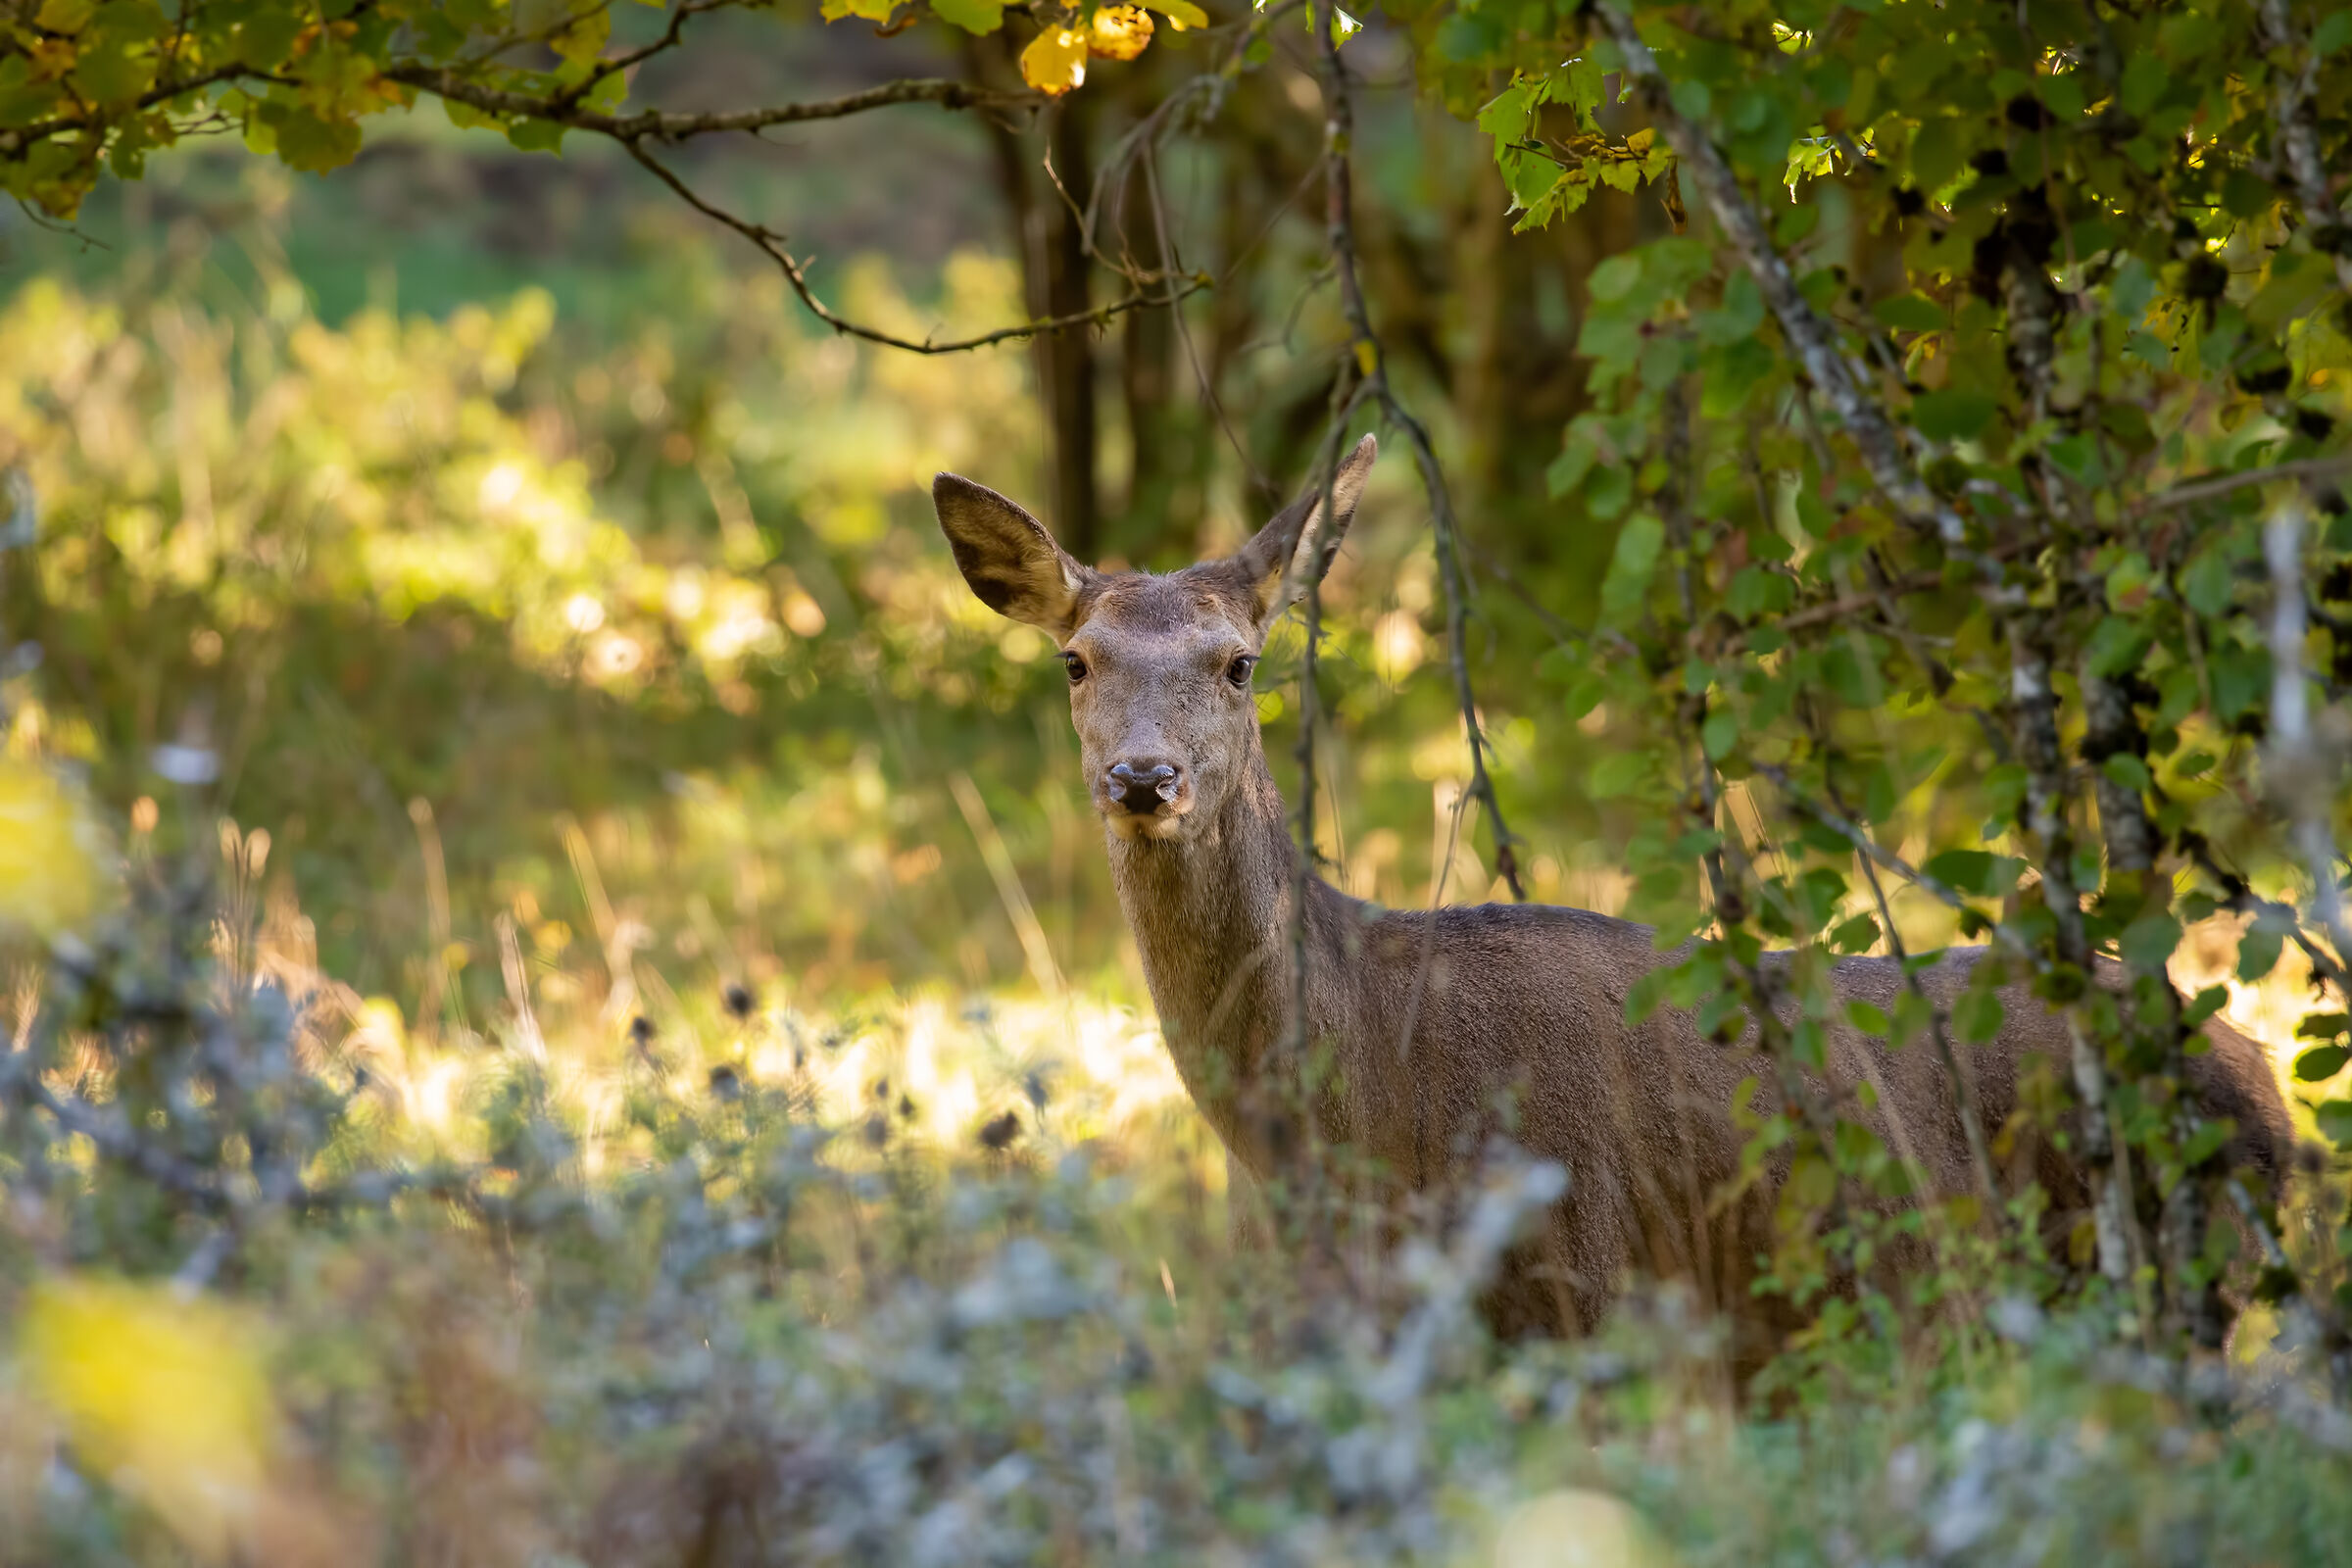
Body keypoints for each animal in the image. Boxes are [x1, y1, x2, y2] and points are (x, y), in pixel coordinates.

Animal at [931, 433, 2294, 1368]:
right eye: (1076, 660)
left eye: (1238, 663)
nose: (1143, 778)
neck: (1357, 1108)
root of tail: (2274, 1094)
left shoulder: (1584, 1285)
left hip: (2167, 1276)